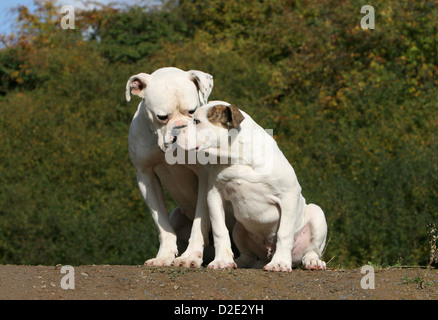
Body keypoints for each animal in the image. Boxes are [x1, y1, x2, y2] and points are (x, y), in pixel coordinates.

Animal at [125, 67, 217, 268]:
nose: (180, 127)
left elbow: (200, 221)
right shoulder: (146, 177)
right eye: (162, 117)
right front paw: (164, 255)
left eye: (192, 111)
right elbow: (161, 223)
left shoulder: (205, 177)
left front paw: (190, 256)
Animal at [173, 101, 326, 272]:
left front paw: (280, 262)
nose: (175, 135)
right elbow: (220, 229)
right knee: (248, 255)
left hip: (316, 214)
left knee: (311, 250)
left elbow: (284, 233)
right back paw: (240, 262)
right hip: (239, 228)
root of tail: (267, 253)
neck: (237, 156)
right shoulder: (214, 195)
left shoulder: (289, 194)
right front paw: (222, 260)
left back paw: (312, 261)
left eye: (197, 121)